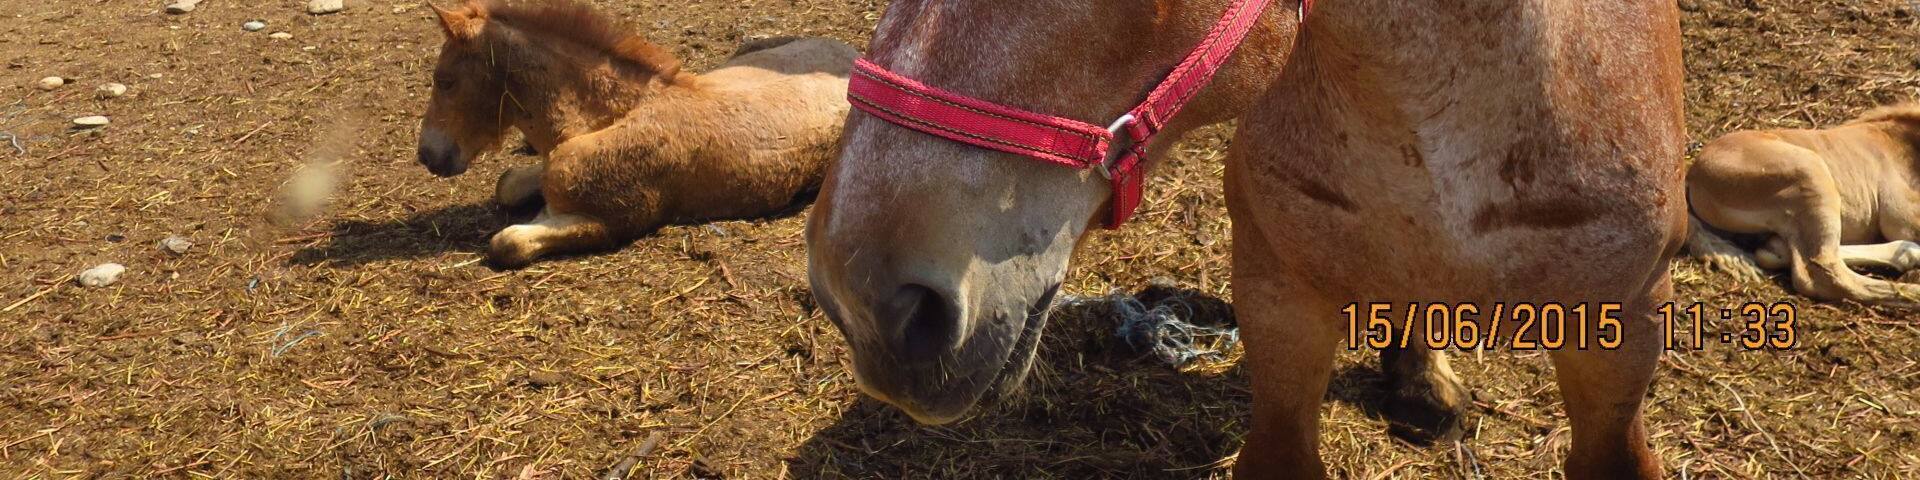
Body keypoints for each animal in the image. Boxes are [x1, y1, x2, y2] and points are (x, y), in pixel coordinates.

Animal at [417, 0, 856, 269]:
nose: (427, 155)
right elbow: (507, 184)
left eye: (445, 81)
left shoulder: (616, 222)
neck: (608, 115)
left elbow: (508, 242)